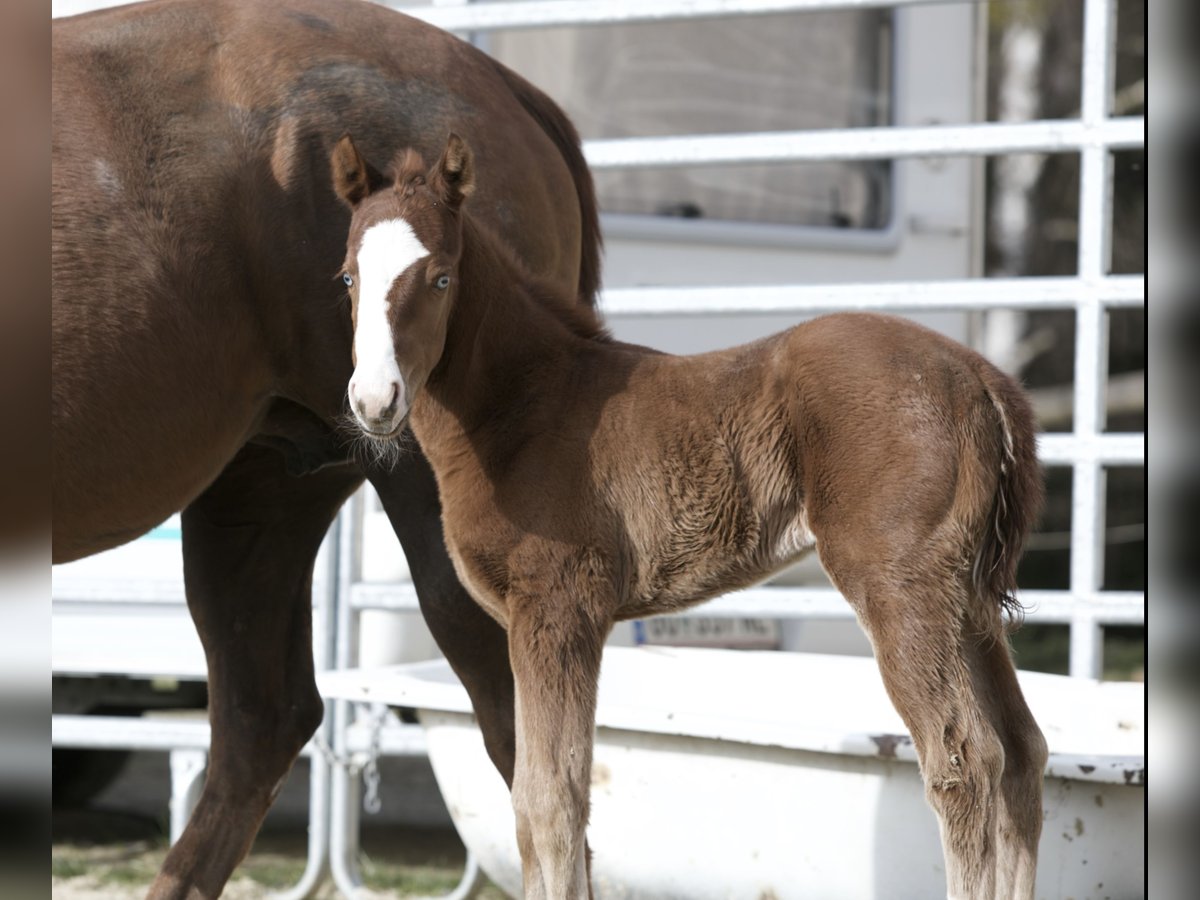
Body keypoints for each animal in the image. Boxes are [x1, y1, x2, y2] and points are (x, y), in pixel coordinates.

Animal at [333, 133, 1046, 900]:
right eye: (347, 278)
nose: (374, 401)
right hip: (965, 596)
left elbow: (549, 800)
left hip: (900, 585)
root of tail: (980, 376)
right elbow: (544, 799)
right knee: (1022, 752)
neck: (524, 408)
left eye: (440, 278)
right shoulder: (538, 622)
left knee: (966, 762)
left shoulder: (559, 609)